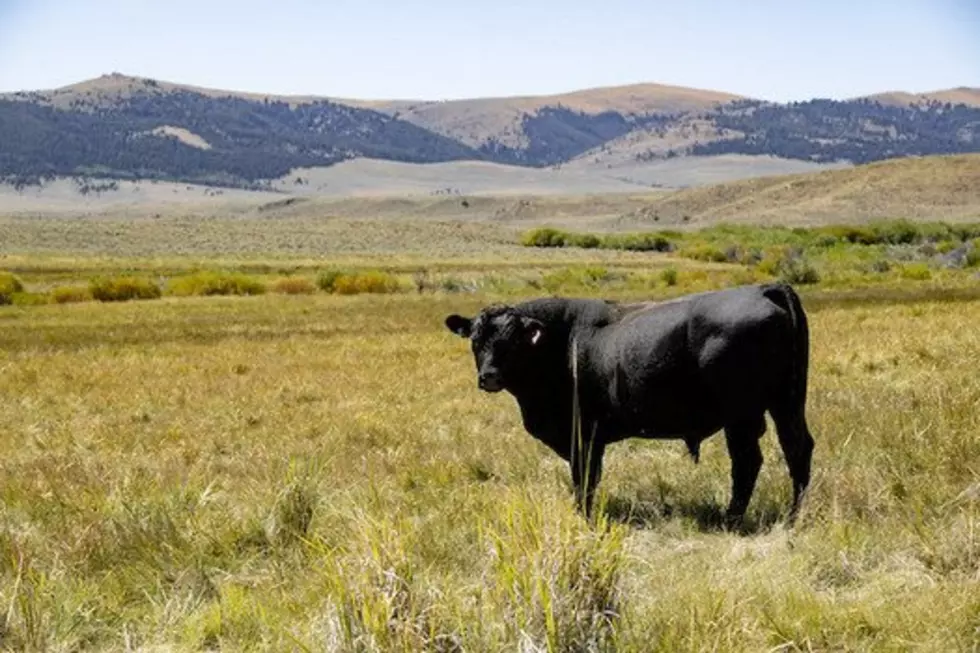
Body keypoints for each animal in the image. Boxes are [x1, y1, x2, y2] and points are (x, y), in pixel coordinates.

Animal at [444, 282, 812, 524]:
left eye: (512, 341)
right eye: (476, 339)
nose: (489, 376)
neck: (559, 343)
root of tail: (762, 289)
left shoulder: (583, 437)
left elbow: (584, 479)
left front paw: (583, 517)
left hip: (741, 417)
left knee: (748, 462)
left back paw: (732, 518)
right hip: (786, 405)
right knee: (797, 450)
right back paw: (793, 516)